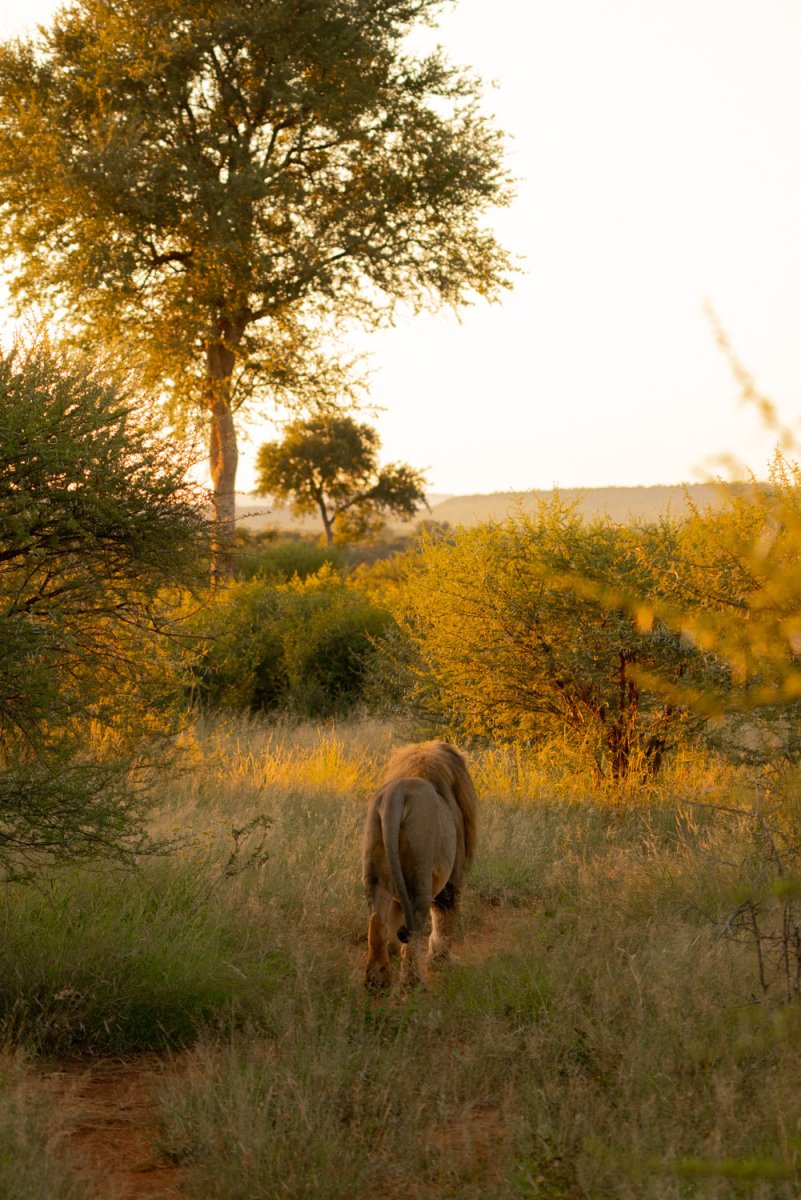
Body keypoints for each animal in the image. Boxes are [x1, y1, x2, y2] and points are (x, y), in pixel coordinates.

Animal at [362, 744, 474, 988]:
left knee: (377, 922)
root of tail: (396, 795)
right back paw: (413, 982)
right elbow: (444, 919)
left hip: (375, 868)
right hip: (419, 877)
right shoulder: (452, 881)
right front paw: (441, 961)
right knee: (415, 926)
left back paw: (378, 982)